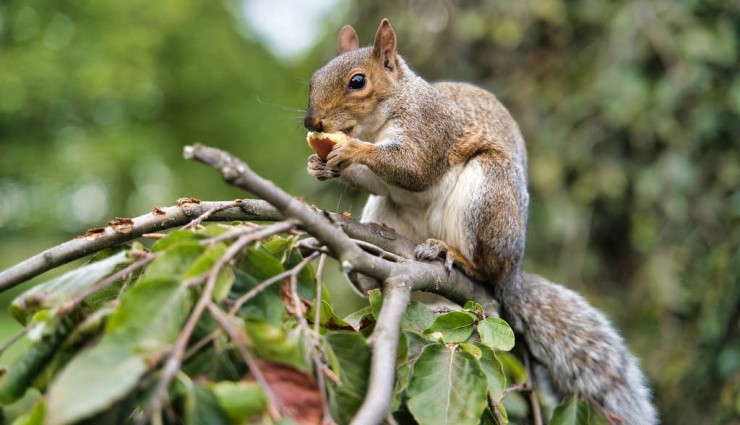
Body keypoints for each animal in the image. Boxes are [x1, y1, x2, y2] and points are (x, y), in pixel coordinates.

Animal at [304, 18, 656, 422]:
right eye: (313, 79)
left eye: (358, 81)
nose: (311, 121)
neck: (379, 122)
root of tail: (513, 271)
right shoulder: (382, 176)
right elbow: (378, 181)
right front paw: (319, 165)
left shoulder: (431, 130)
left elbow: (414, 169)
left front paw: (351, 150)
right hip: (387, 212)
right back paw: (368, 268)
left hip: (489, 193)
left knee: (486, 268)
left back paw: (455, 257)